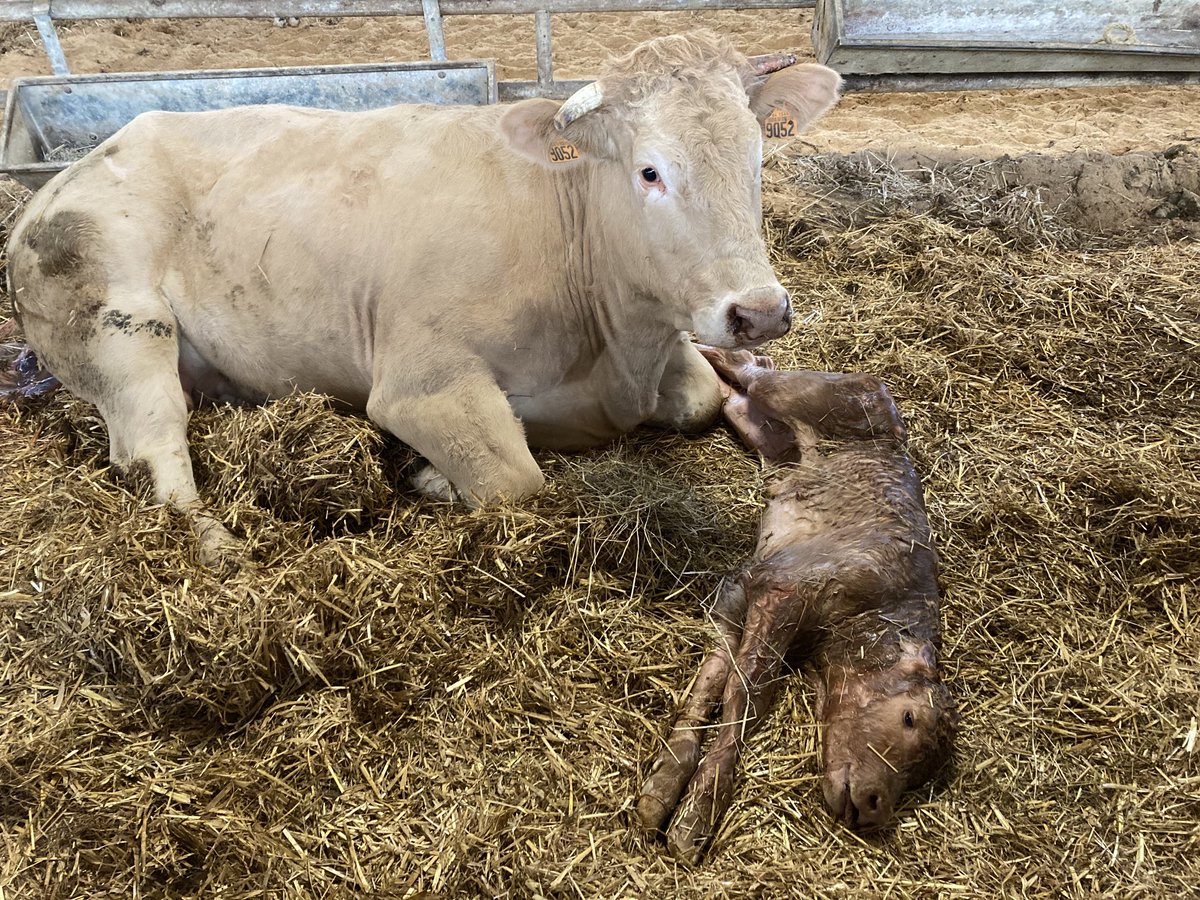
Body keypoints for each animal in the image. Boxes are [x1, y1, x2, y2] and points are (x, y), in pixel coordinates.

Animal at [6, 32, 841, 562]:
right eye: (649, 171)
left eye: (759, 157)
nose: (759, 312)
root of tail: (63, 179)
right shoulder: (421, 383)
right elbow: (514, 479)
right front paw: (428, 474)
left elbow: (699, 400)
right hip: (120, 325)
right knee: (153, 452)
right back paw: (219, 549)